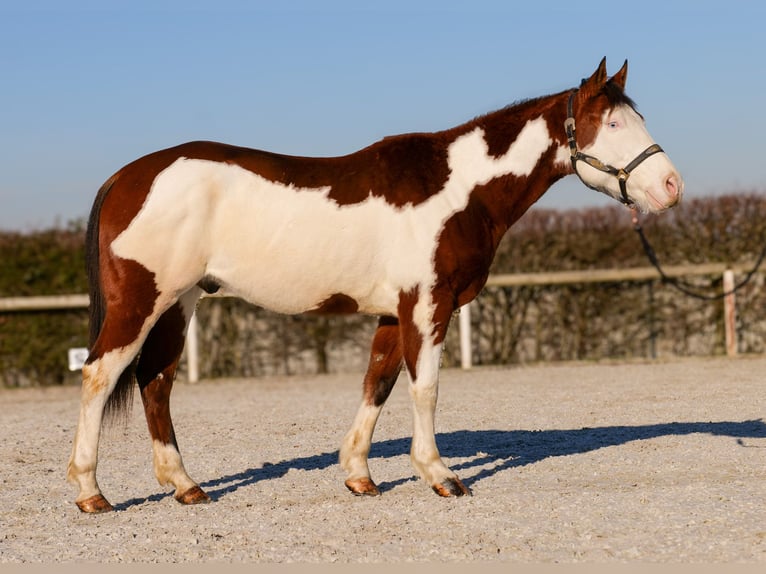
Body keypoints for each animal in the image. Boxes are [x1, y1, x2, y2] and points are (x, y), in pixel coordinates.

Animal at [69, 58, 688, 516]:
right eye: (612, 124)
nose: (671, 187)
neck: (459, 188)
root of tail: (125, 177)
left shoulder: (394, 312)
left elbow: (378, 384)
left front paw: (359, 476)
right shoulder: (428, 304)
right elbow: (424, 388)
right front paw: (440, 475)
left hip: (180, 304)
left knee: (156, 383)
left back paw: (185, 485)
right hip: (141, 303)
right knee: (100, 374)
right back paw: (91, 492)